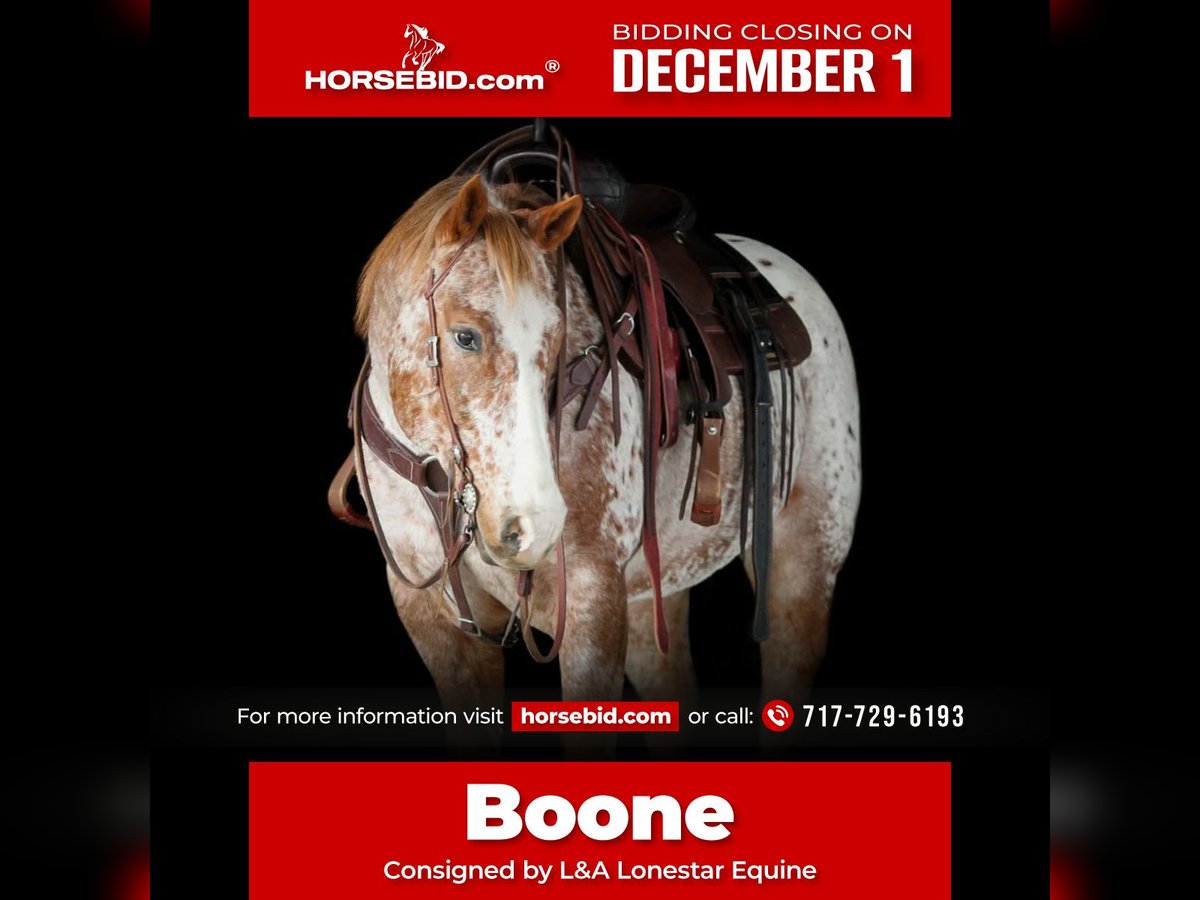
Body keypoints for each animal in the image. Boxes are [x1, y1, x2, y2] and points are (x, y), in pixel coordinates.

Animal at [350, 174, 861, 711]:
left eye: (556, 343)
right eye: (465, 336)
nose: (535, 524)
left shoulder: (592, 600)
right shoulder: (432, 620)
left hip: (804, 560)